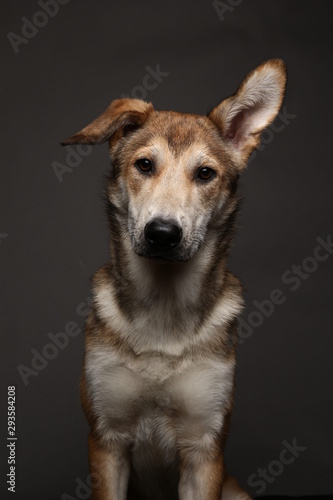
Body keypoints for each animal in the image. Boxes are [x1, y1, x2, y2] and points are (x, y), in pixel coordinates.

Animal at [62, 59, 286, 500]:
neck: (163, 305)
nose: (162, 234)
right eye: (144, 165)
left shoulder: (204, 446)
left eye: (205, 173)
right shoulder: (106, 439)